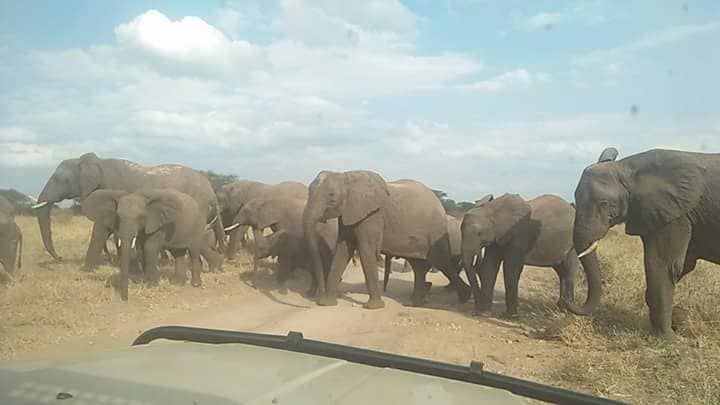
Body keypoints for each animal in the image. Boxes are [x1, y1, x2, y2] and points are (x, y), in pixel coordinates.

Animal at [32, 152, 224, 266]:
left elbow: (101, 230)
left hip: (197, 204)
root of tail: (211, 189)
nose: (61, 258)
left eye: (60, 180)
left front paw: (88, 268)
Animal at [82, 188, 222, 298]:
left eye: (140, 217)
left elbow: (150, 247)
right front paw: (147, 281)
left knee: (193, 251)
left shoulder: (159, 223)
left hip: (196, 226)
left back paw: (196, 284)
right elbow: (141, 248)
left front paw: (152, 285)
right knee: (178, 253)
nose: (125, 299)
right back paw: (177, 283)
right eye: (118, 216)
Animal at [300, 171, 470, 310]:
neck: (347, 176)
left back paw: (464, 298)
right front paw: (326, 303)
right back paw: (414, 303)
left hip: (435, 230)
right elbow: (343, 249)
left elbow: (365, 249)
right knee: (419, 266)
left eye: (331, 196)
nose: (315, 297)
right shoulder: (349, 213)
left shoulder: (372, 215)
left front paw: (373, 307)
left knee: (441, 261)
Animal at [564, 147, 720, 336]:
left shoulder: (675, 215)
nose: (567, 295)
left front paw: (667, 337)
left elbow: (665, 267)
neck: (628, 168)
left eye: (604, 203)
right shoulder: (654, 213)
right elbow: (682, 266)